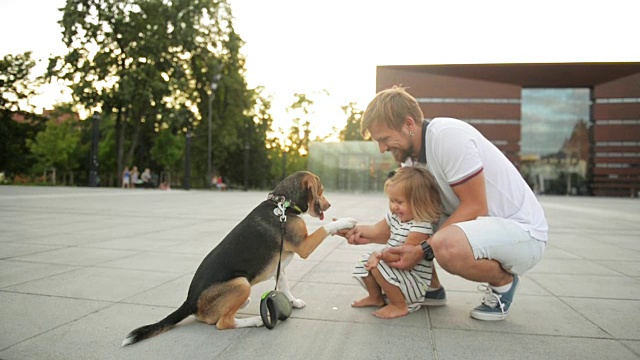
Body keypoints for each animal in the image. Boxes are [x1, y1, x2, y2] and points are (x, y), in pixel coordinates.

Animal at [122, 172, 358, 346]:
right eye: (321, 191)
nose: (329, 205)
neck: (283, 205)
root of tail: (190, 301)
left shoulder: (280, 266)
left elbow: (285, 285)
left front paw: (293, 301)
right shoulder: (304, 246)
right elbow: (326, 227)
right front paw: (346, 221)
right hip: (241, 283)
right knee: (223, 323)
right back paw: (254, 320)